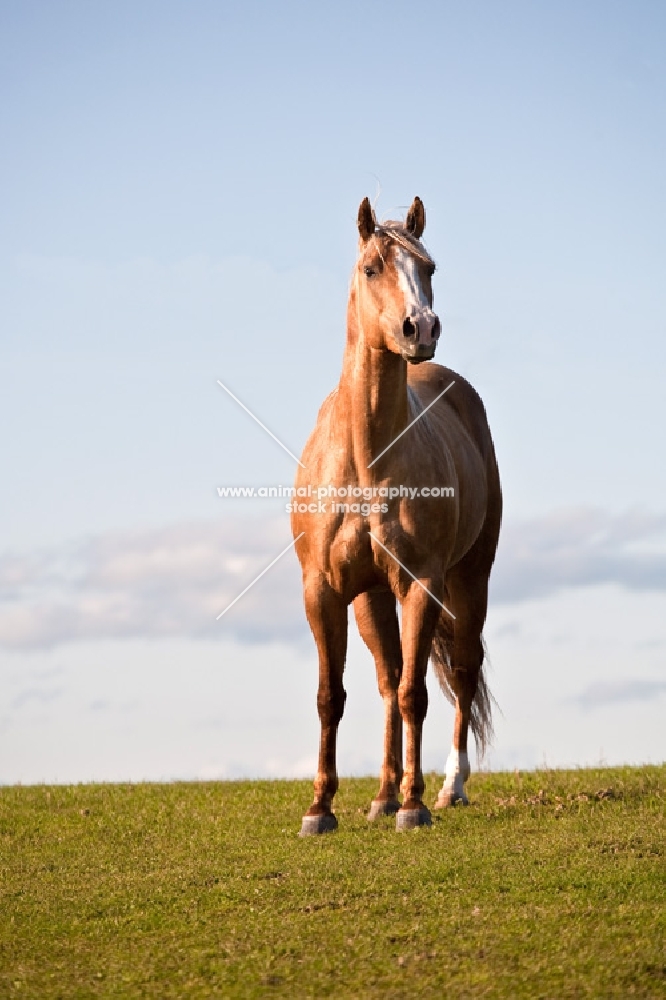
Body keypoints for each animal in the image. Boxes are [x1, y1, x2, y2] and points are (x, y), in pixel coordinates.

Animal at [290, 197, 498, 836]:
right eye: (372, 267)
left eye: (428, 267)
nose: (420, 328)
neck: (366, 456)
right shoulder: (324, 590)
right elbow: (332, 695)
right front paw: (321, 808)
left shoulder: (421, 584)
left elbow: (416, 694)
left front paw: (414, 804)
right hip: (371, 598)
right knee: (386, 679)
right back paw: (381, 794)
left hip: (470, 578)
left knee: (459, 671)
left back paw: (448, 787)